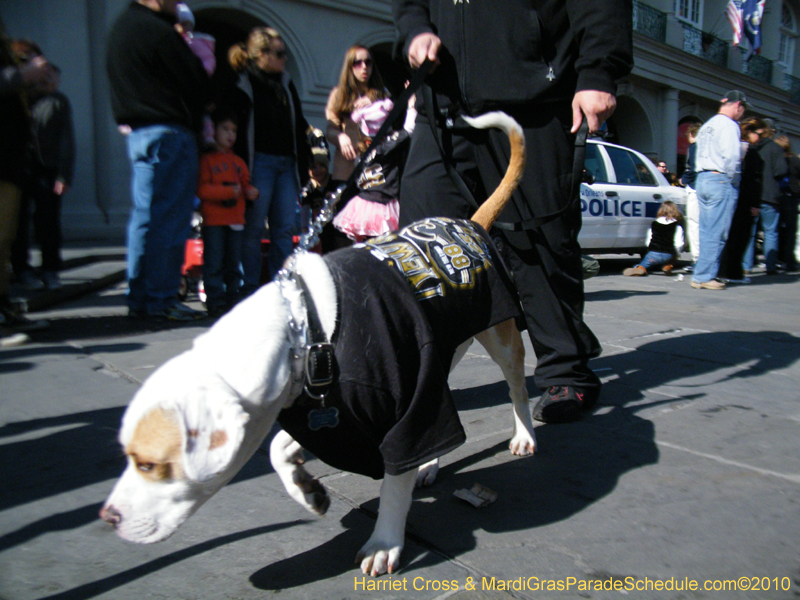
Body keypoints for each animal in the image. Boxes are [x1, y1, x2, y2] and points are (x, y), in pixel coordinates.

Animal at [101, 110, 536, 576]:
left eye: (150, 464)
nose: (108, 517)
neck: (305, 329)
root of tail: (469, 222)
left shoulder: (398, 410)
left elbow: (393, 483)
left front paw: (384, 543)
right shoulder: (323, 407)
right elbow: (281, 446)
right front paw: (305, 487)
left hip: (501, 339)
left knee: (515, 388)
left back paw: (524, 435)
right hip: (440, 354)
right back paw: (429, 465)